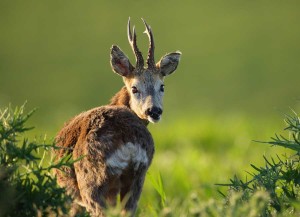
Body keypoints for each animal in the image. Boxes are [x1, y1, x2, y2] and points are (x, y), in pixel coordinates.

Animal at [53, 17, 180, 216]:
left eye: (162, 86)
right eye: (134, 88)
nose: (154, 111)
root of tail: (126, 140)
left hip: (91, 182)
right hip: (137, 179)